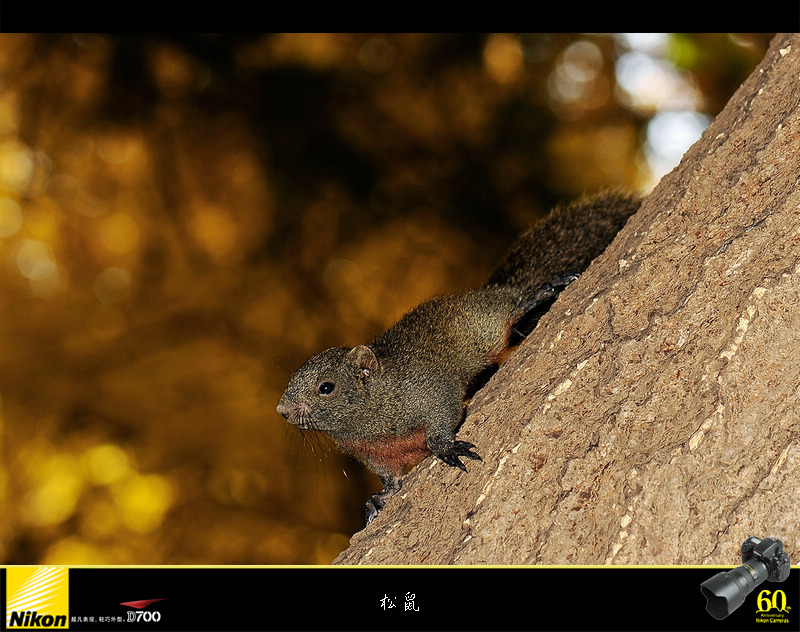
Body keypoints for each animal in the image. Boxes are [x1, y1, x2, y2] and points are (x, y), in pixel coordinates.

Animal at [278, 190, 640, 524]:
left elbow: (443, 413)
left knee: (515, 303)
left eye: (326, 388)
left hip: (484, 323)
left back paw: (549, 287)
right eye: (291, 381)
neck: (370, 419)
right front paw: (376, 501)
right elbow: (392, 481)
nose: (282, 410)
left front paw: (445, 446)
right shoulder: (377, 455)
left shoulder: (426, 390)